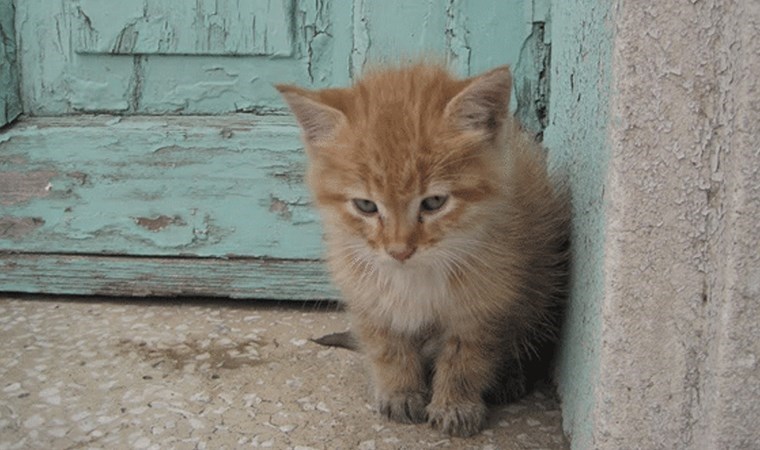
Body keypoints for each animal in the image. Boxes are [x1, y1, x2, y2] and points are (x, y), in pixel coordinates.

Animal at [276, 63, 568, 436]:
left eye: (433, 202)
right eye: (366, 206)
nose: (399, 250)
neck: (415, 275)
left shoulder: (485, 303)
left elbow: (466, 356)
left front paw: (455, 405)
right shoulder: (367, 295)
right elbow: (387, 347)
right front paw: (400, 392)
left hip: (543, 282)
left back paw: (510, 377)